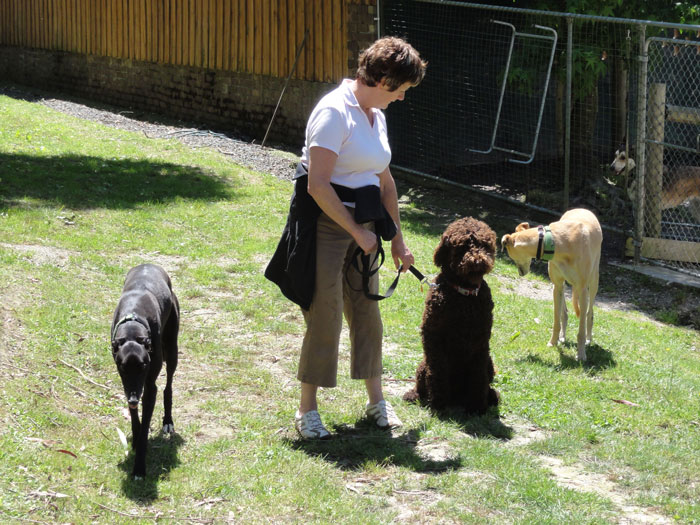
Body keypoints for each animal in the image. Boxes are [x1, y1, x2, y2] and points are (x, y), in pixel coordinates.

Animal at [402, 217, 500, 414]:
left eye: (485, 245)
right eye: (462, 247)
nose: (478, 262)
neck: (464, 295)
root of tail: (456, 396)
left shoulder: (481, 342)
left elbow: (478, 377)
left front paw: (477, 407)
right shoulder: (433, 336)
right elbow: (438, 372)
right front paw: (439, 403)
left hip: (490, 364)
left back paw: (491, 397)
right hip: (423, 365)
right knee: (422, 383)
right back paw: (415, 395)